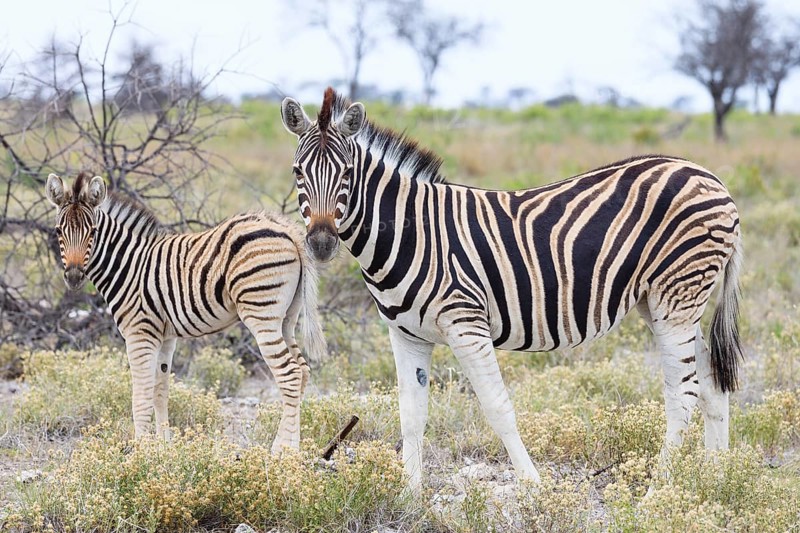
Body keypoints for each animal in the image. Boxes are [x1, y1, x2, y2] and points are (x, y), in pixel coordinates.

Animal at [45, 172, 326, 451]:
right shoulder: (165, 336)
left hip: (261, 315)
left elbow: (141, 397)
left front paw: (140, 452)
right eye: (58, 231)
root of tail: (287, 230)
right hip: (286, 319)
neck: (129, 265)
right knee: (302, 371)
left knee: (289, 375)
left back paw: (282, 453)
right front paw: (164, 448)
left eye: (92, 232)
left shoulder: (139, 333)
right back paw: (290, 448)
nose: (73, 277)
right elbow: (159, 391)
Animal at [280, 88, 743, 492]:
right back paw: (717, 479)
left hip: (677, 293)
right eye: (298, 172)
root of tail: (712, 178)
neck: (411, 233)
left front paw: (533, 485)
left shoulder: (465, 323)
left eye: (346, 174)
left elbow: (498, 408)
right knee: (711, 381)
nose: (321, 244)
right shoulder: (406, 334)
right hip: (665, 302)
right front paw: (409, 497)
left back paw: (658, 490)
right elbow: (411, 414)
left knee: (683, 391)